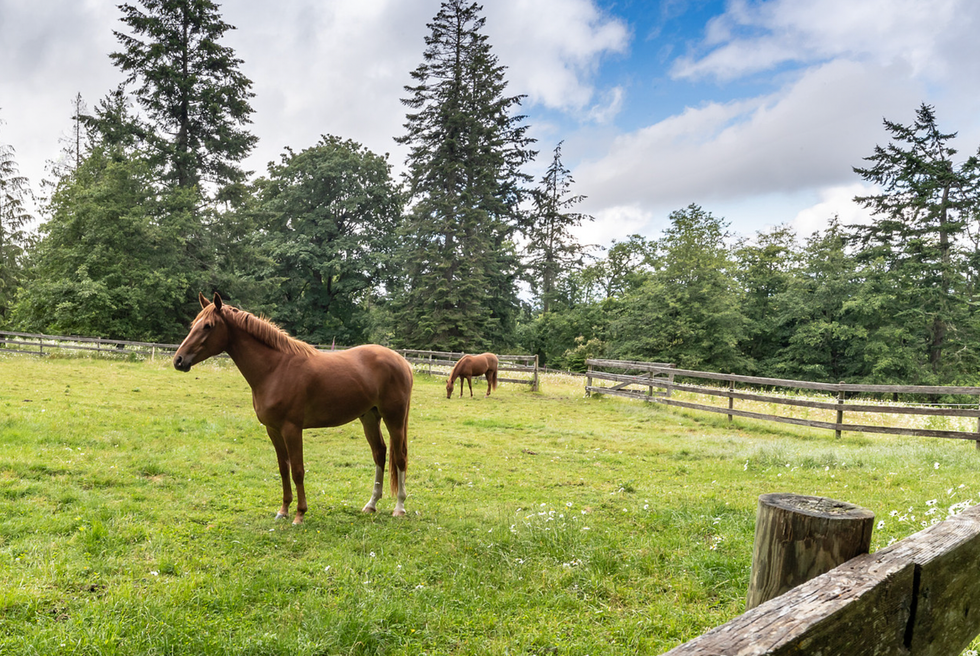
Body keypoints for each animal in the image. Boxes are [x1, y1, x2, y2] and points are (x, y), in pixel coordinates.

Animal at [173, 293, 413, 523]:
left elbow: (297, 470)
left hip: (394, 419)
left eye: (208, 326)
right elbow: (283, 468)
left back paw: (400, 508)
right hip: (369, 417)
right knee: (379, 453)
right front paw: (284, 510)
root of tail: (402, 362)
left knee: (400, 457)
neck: (276, 369)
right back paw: (371, 505)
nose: (179, 360)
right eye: (194, 323)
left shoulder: (292, 429)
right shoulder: (273, 429)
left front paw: (300, 514)